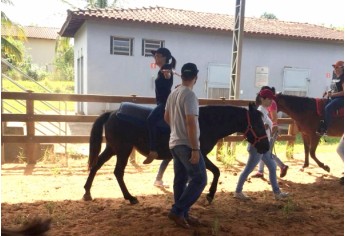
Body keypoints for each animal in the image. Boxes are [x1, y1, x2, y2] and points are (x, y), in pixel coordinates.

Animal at [81, 102, 268, 204]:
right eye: (258, 125)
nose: (266, 146)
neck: (205, 122)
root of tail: (112, 113)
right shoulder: (199, 155)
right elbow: (216, 171)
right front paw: (209, 195)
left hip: (113, 148)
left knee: (97, 164)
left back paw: (87, 192)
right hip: (122, 150)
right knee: (118, 172)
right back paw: (130, 197)